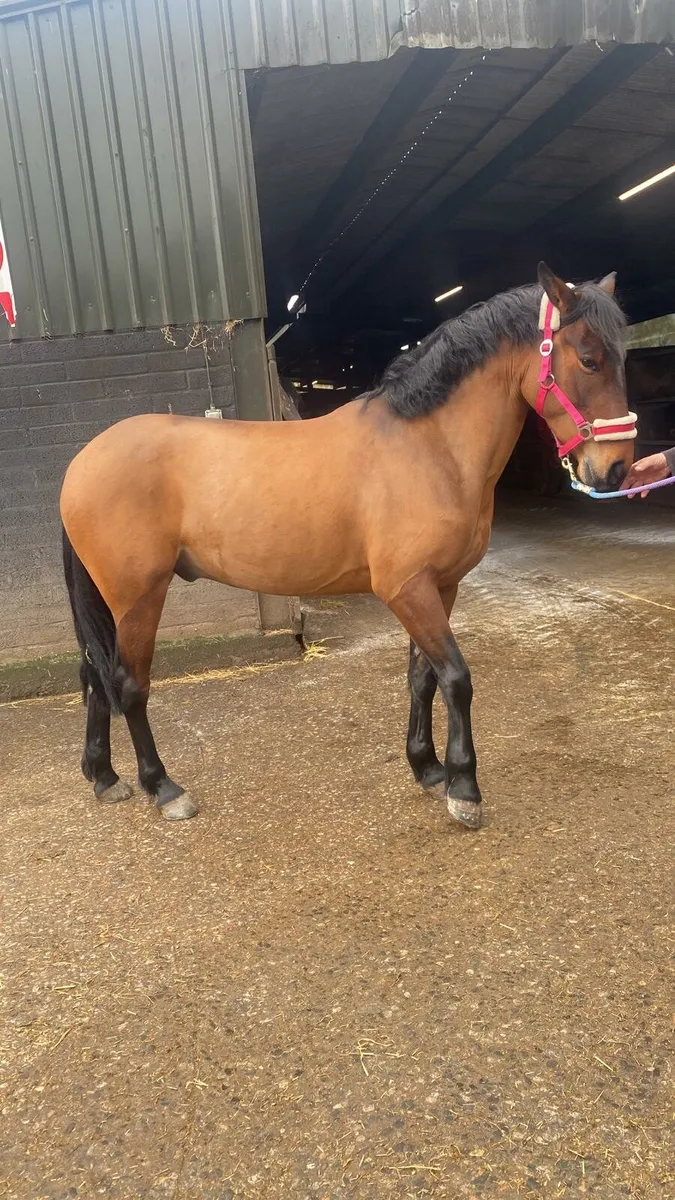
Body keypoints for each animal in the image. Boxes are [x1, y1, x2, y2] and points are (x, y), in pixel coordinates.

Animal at [60, 264, 635, 827]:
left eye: (623, 356)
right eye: (588, 359)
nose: (616, 469)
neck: (428, 446)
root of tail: (82, 462)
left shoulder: (440, 587)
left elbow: (422, 678)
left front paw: (428, 769)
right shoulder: (408, 590)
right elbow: (456, 678)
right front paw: (464, 790)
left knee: (93, 675)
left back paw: (104, 777)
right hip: (138, 597)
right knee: (128, 684)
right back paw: (163, 788)